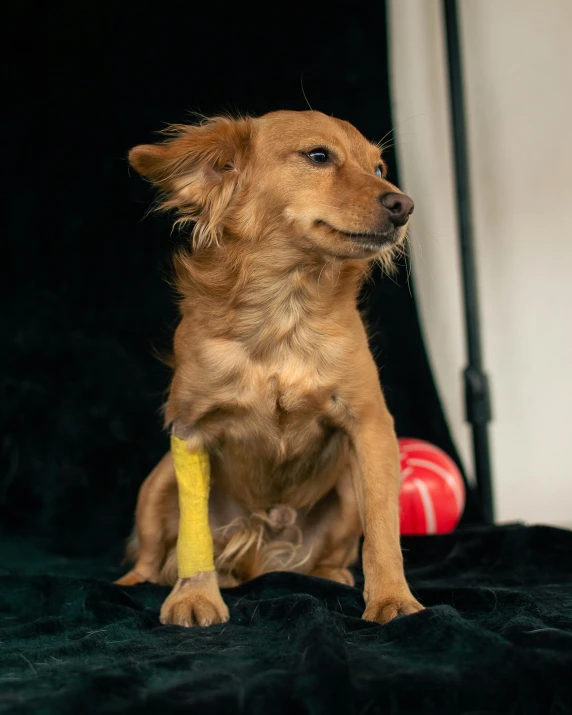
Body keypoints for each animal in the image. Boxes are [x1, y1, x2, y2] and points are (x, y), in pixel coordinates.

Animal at [116, 109, 422, 628]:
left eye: (379, 168)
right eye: (318, 156)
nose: (405, 204)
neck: (285, 311)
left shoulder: (371, 426)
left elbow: (384, 529)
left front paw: (391, 598)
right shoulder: (189, 430)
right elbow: (193, 532)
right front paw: (195, 594)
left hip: (346, 490)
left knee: (337, 551)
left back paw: (331, 574)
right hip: (157, 482)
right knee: (153, 552)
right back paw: (138, 581)